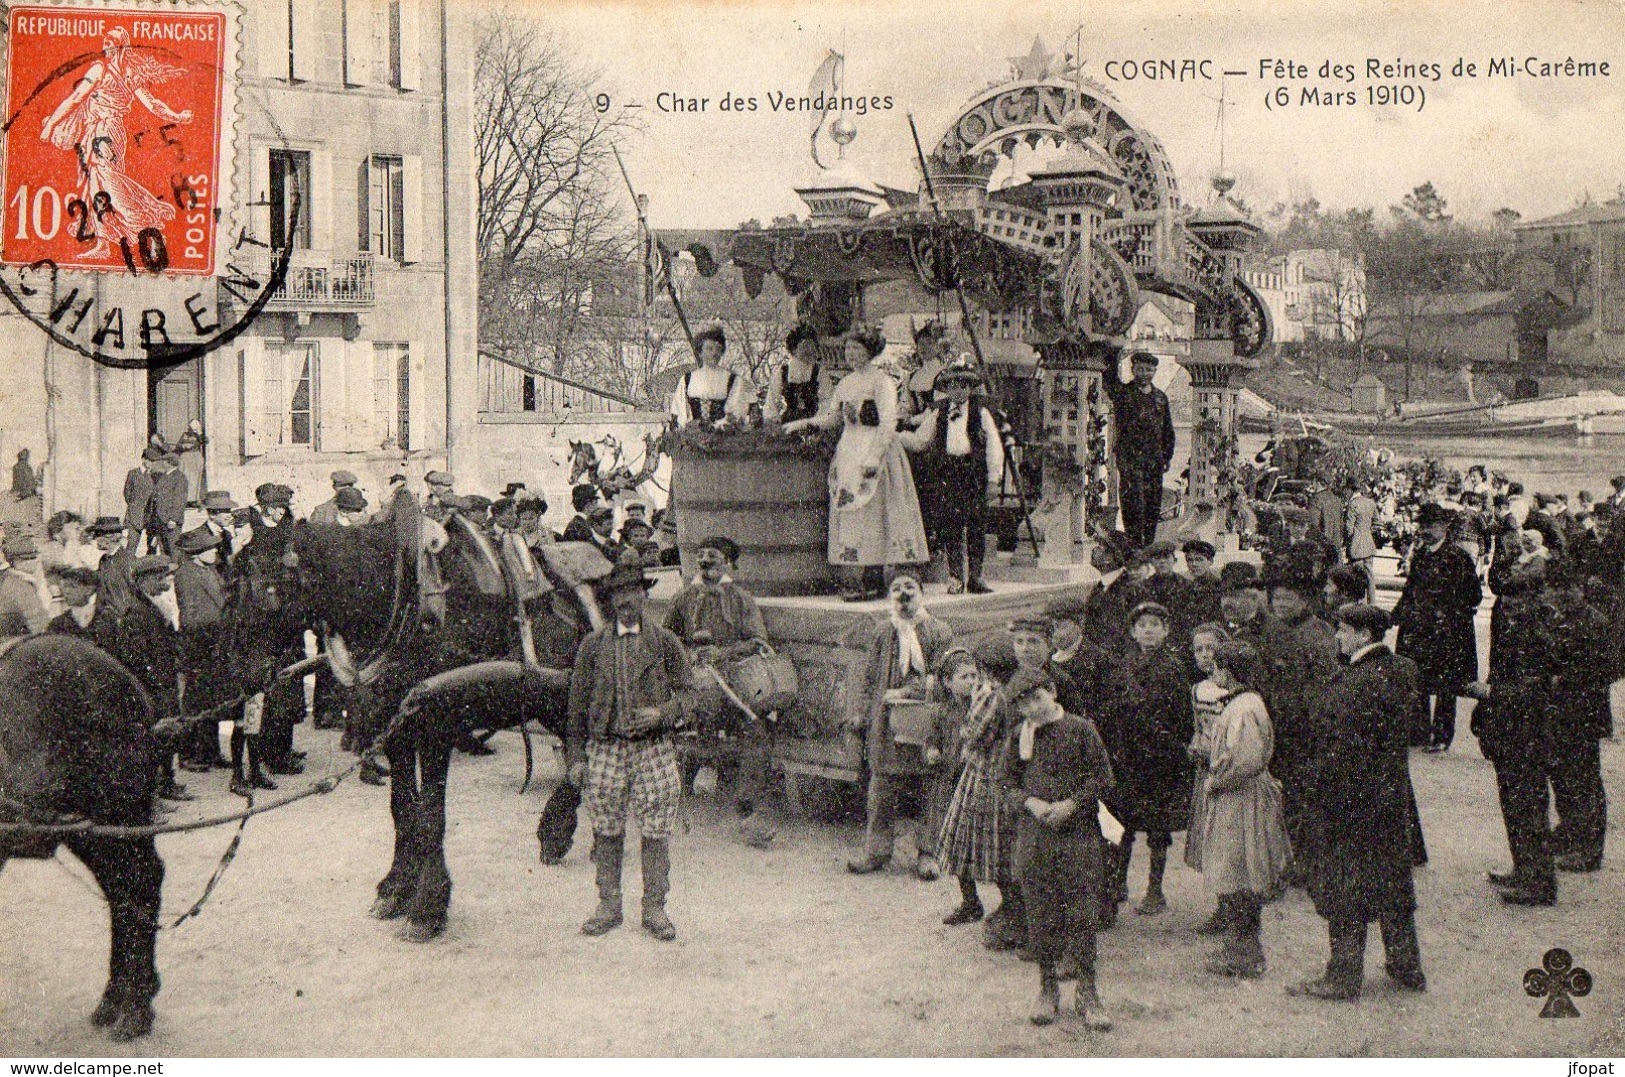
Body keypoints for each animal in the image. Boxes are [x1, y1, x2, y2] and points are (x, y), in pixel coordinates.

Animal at [0, 636, 163, 1039]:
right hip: (86, 830)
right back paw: (117, 1000)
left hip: (119, 813)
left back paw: (136, 1009)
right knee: (122, 891)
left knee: (141, 884)